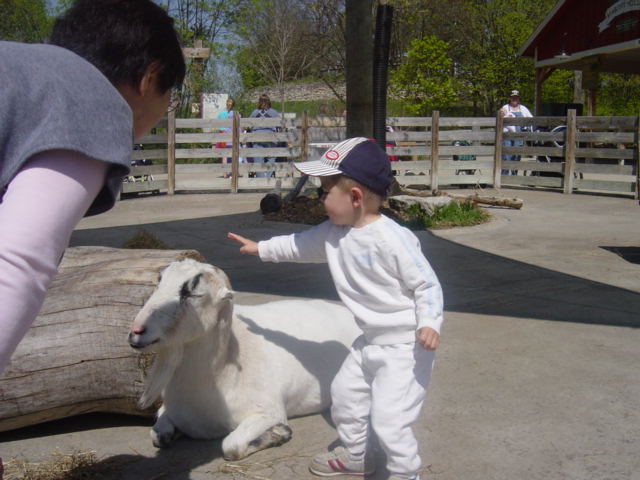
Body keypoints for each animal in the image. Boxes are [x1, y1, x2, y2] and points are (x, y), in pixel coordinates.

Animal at [127, 258, 358, 462]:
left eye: (193, 293)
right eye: (159, 282)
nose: (136, 332)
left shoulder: (269, 411)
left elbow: (231, 446)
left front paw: (280, 433)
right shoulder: (168, 411)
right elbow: (157, 436)